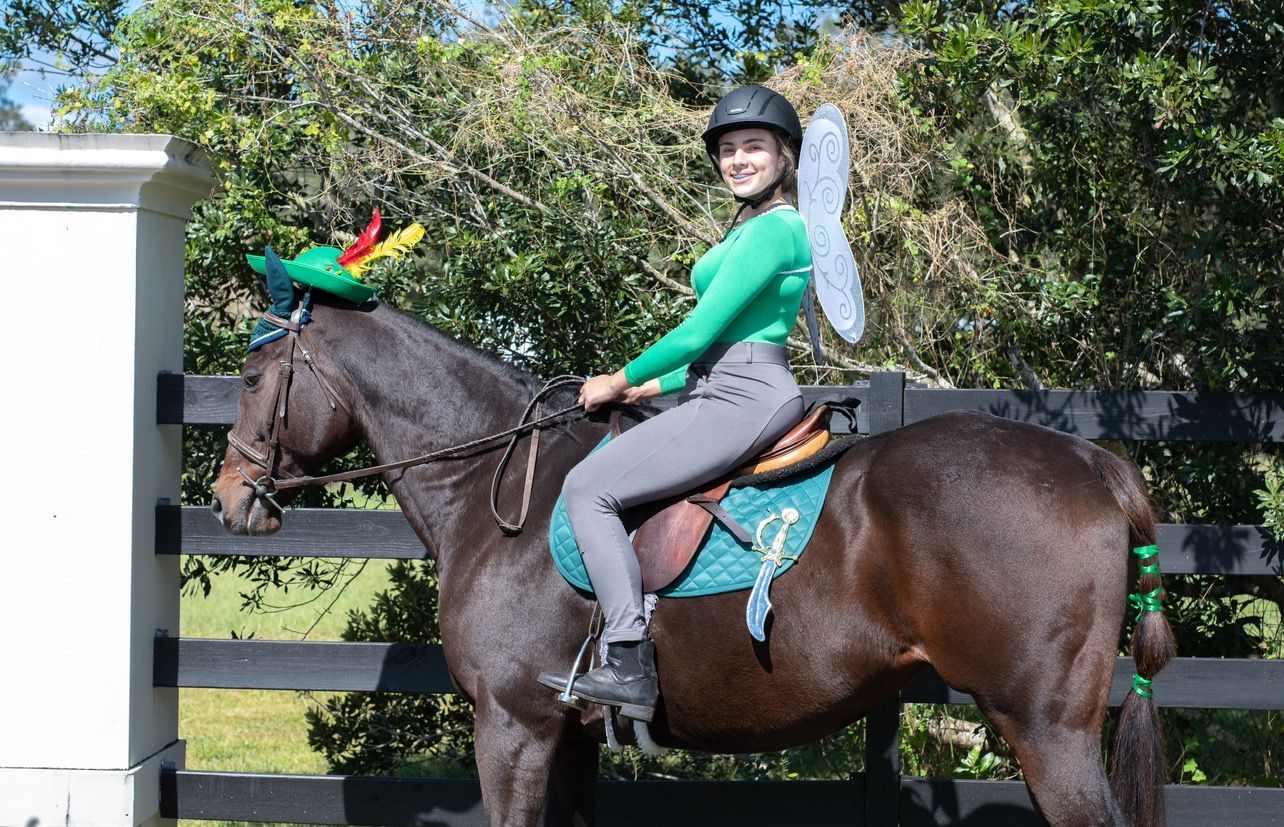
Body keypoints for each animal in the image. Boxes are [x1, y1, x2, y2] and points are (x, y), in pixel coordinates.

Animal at [210, 293, 1176, 827]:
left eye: (254, 379)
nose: (228, 496)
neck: (499, 481)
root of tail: (1090, 459)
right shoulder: (568, 739)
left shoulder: (513, 726)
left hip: (1046, 731)